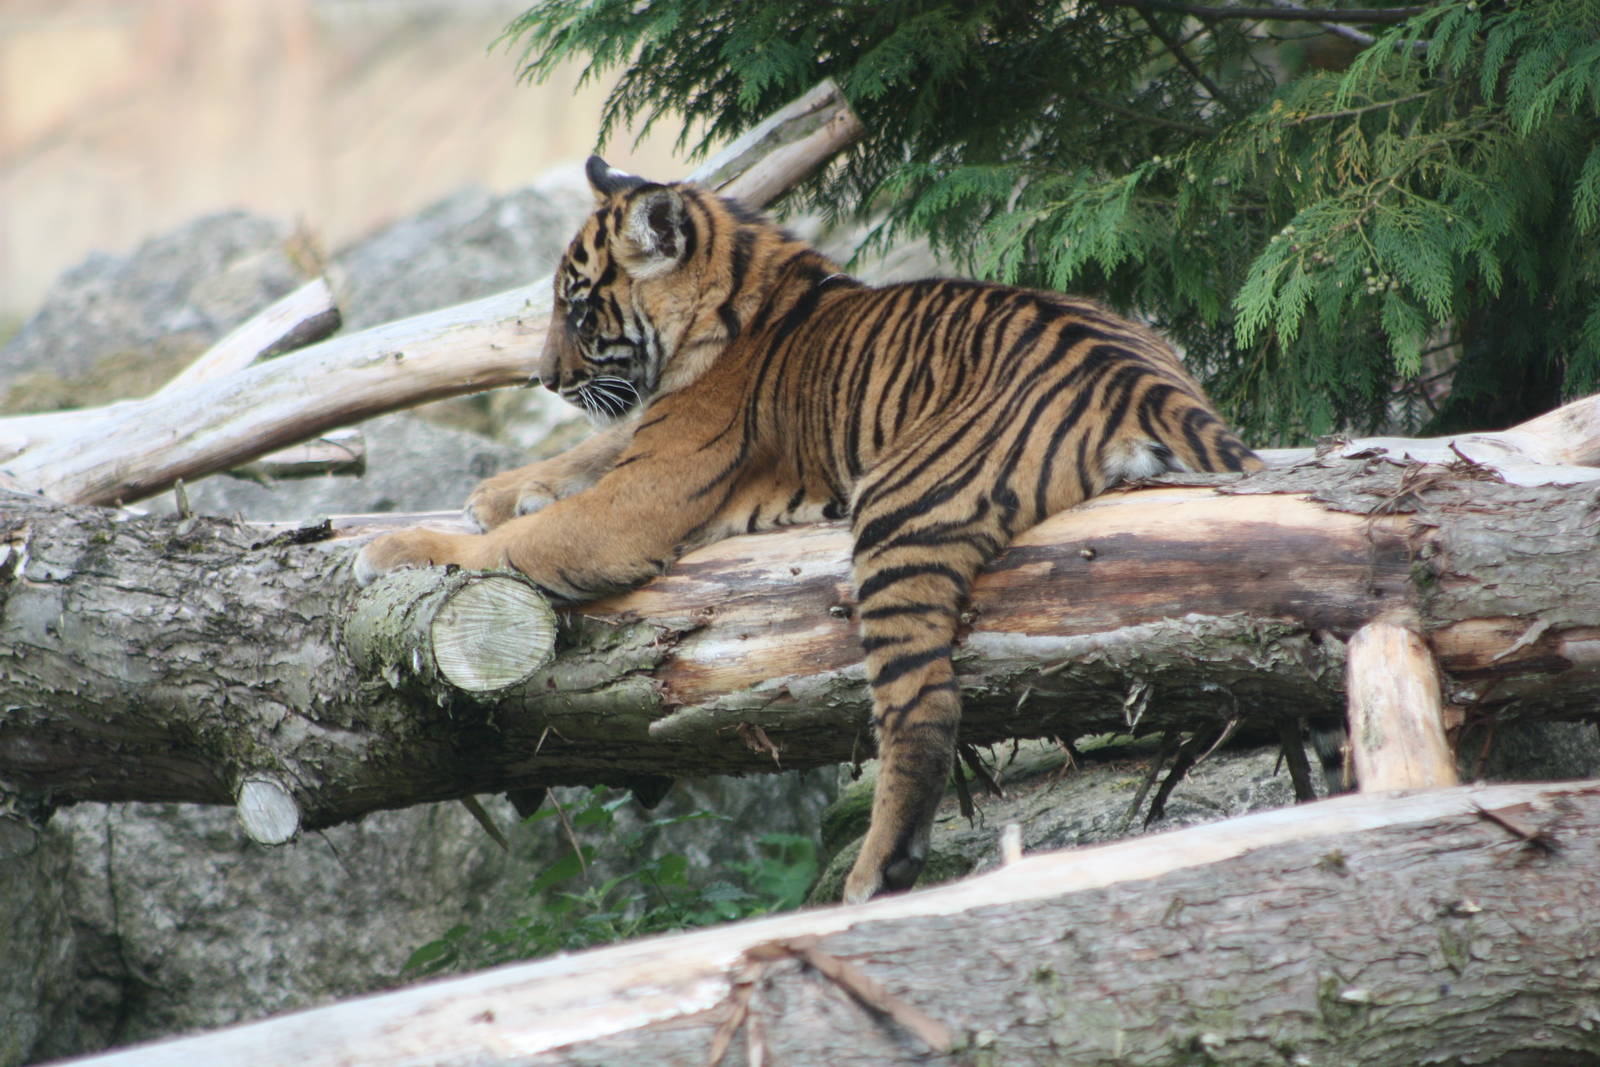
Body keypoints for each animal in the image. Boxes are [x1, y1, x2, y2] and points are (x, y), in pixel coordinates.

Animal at [354, 155, 1263, 903]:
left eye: (578, 312)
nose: (543, 378)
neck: (737, 296)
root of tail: (1141, 377)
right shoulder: (641, 447)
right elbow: (592, 446)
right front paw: (497, 489)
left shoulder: (638, 498)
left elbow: (522, 538)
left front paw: (401, 546)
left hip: (899, 518)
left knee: (923, 707)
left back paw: (875, 873)